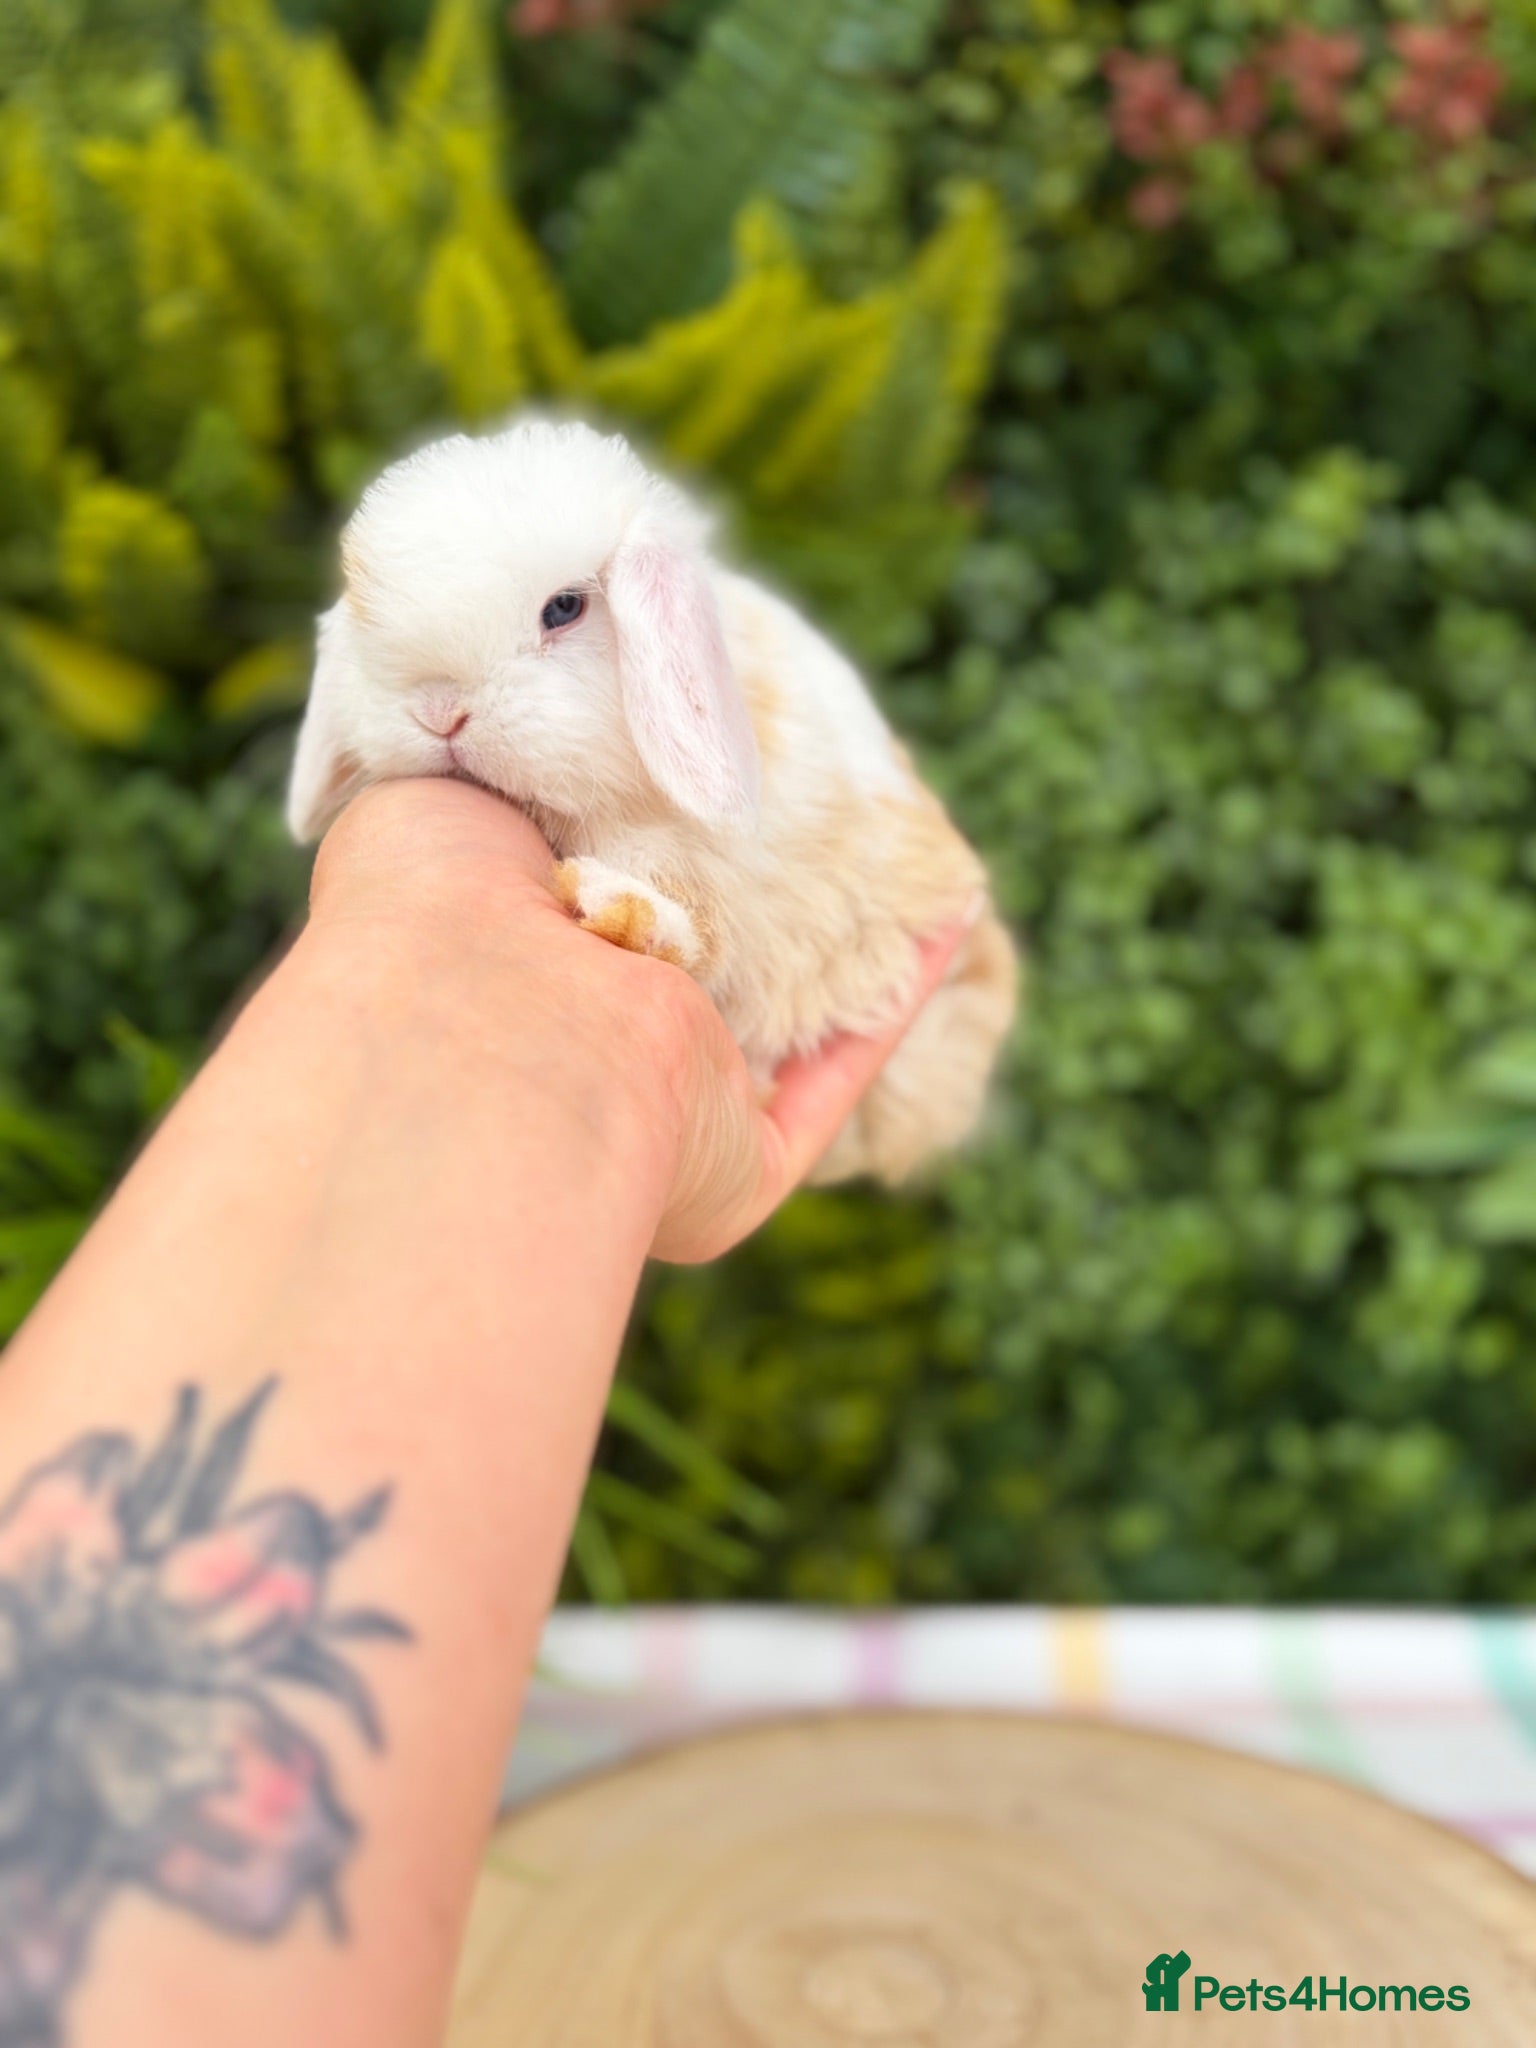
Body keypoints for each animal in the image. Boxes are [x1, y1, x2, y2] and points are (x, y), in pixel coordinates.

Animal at [286, 417, 1018, 1184]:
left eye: (565, 608)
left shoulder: (711, 873)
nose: (439, 713)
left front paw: (613, 905)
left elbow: (695, 932)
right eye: (365, 615)